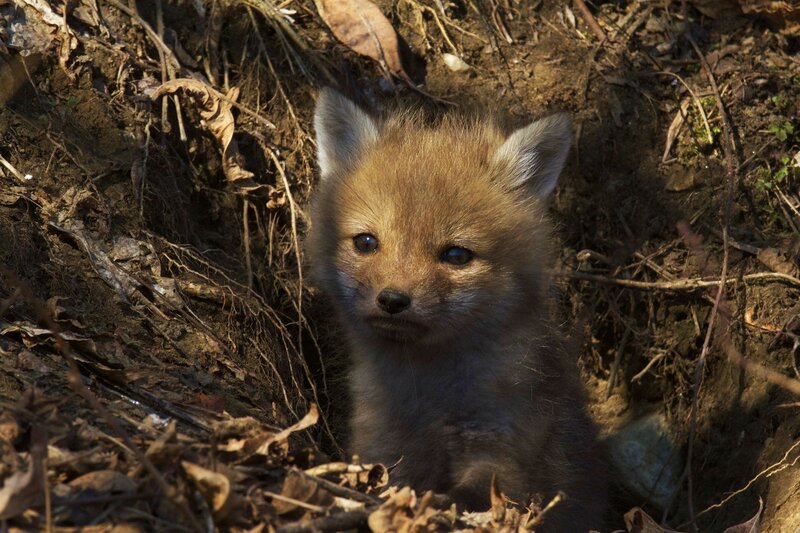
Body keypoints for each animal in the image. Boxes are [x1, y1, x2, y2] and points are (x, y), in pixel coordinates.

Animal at [306, 88, 606, 532]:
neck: (428, 394)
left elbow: (472, 499)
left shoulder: (505, 451)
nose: (392, 300)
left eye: (456, 255)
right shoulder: (383, 447)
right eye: (366, 242)